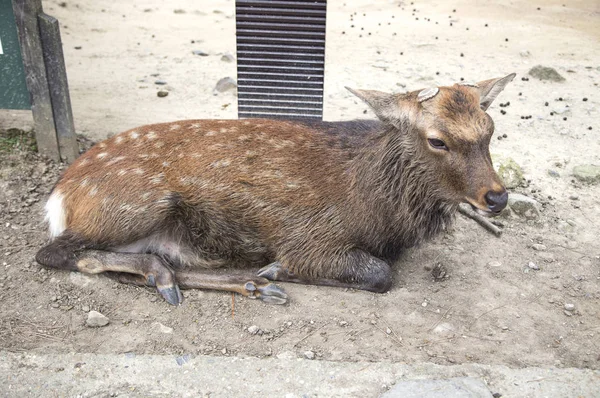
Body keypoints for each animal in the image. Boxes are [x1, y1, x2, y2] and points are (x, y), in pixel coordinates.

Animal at [36, 74, 516, 304]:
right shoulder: (311, 238)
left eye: (490, 128)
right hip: (134, 205)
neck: (382, 218)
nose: (497, 197)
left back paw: (244, 282)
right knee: (57, 253)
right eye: (437, 140)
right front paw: (282, 269)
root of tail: (59, 197)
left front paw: (270, 274)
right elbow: (380, 274)